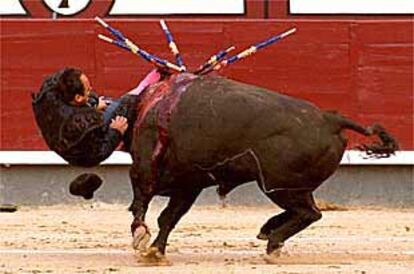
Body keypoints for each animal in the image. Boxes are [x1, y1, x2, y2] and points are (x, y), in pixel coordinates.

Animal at [33, 73, 398, 262]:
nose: (37, 94)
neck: (142, 107)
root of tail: (330, 118)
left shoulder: (146, 171)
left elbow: (142, 204)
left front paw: (142, 239)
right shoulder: (189, 185)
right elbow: (169, 217)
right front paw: (156, 250)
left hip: (278, 185)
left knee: (309, 213)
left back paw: (271, 242)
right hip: (287, 187)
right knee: (307, 212)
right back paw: (269, 234)